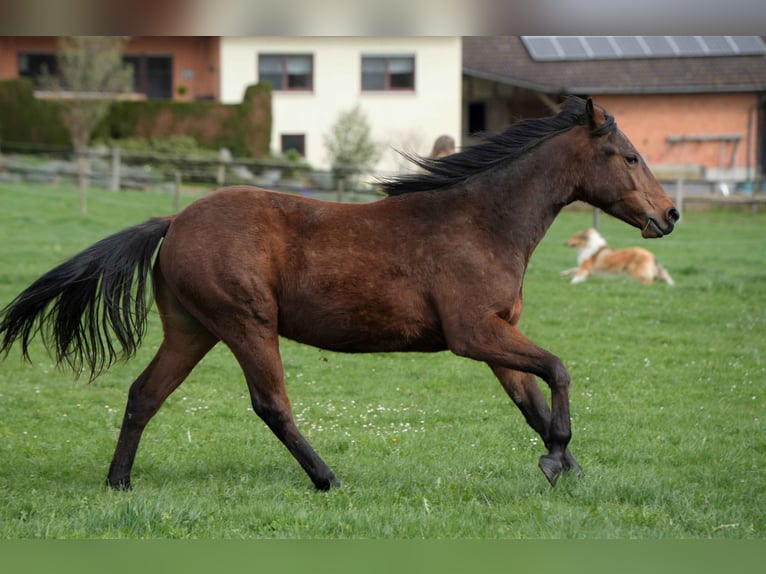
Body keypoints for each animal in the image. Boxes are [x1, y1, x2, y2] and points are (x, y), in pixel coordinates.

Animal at [0, 98, 680, 490]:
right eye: (629, 156)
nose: (669, 214)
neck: (483, 222)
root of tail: (173, 222)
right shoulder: (473, 334)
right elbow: (558, 370)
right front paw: (559, 458)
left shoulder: (496, 336)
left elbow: (532, 402)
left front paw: (568, 469)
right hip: (247, 324)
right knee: (270, 404)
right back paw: (327, 478)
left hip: (193, 330)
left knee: (144, 395)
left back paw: (118, 484)